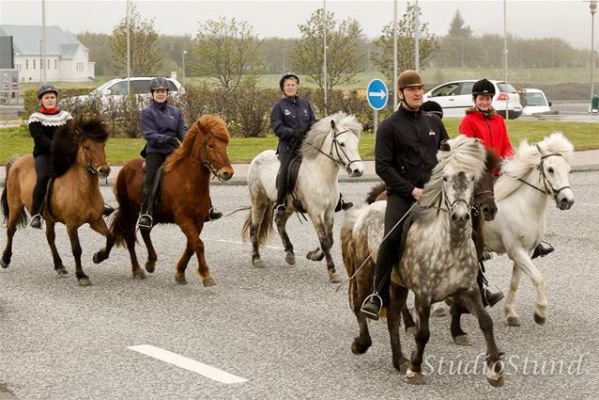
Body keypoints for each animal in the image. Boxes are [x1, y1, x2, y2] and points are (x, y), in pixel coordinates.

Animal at [1, 117, 111, 286]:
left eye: (102, 145)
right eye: (86, 147)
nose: (104, 170)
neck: (83, 190)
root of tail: (17, 161)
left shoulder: (96, 220)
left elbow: (110, 238)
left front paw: (98, 257)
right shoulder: (71, 225)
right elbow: (76, 249)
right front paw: (81, 276)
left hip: (49, 217)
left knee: (50, 237)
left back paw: (59, 266)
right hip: (15, 206)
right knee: (11, 230)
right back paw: (5, 259)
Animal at [94, 114, 234, 286]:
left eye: (225, 144)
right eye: (211, 145)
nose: (228, 173)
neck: (188, 180)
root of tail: (125, 169)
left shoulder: (199, 220)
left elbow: (191, 245)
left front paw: (180, 272)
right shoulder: (183, 219)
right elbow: (198, 244)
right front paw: (206, 275)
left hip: (153, 214)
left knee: (145, 231)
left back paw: (150, 262)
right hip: (130, 211)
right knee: (129, 236)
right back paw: (136, 269)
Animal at [241, 111, 364, 282]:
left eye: (356, 143)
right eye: (341, 144)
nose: (358, 170)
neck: (322, 175)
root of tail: (258, 157)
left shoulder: (329, 212)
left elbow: (330, 240)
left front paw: (314, 255)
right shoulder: (315, 212)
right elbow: (325, 241)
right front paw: (332, 271)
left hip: (289, 206)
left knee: (279, 222)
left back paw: (289, 254)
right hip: (259, 201)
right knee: (254, 228)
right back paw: (257, 258)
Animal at [340, 136, 504, 386]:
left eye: (473, 178)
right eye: (445, 178)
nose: (461, 216)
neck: (449, 246)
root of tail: (363, 213)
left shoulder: (469, 288)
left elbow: (485, 321)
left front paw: (494, 368)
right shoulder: (423, 296)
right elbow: (423, 333)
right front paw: (416, 368)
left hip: (396, 283)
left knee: (393, 318)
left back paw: (399, 360)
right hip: (366, 271)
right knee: (361, 305)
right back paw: (362, 343)